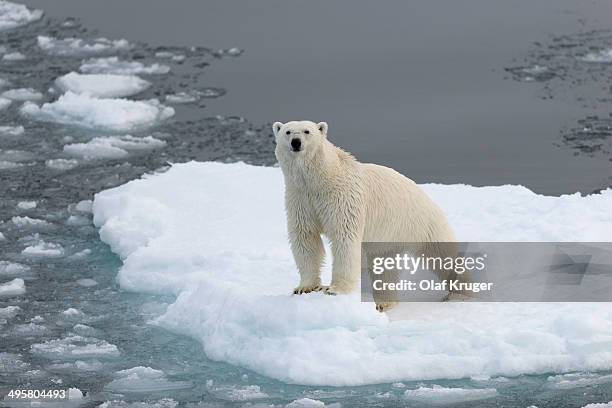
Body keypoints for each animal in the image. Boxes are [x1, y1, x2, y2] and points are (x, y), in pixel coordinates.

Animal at [272, 119, 464, 310]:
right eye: (288, 132)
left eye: (307, 131)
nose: (296, 142)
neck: (320, 178)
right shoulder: (300, 199)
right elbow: (305, 236)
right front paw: (305, 287)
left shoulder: (342, 197)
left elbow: (344, 238)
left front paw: (335, 289)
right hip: (390, 236)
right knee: (385, 266)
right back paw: (384, 303)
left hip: (424, 223)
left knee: (442, 256)